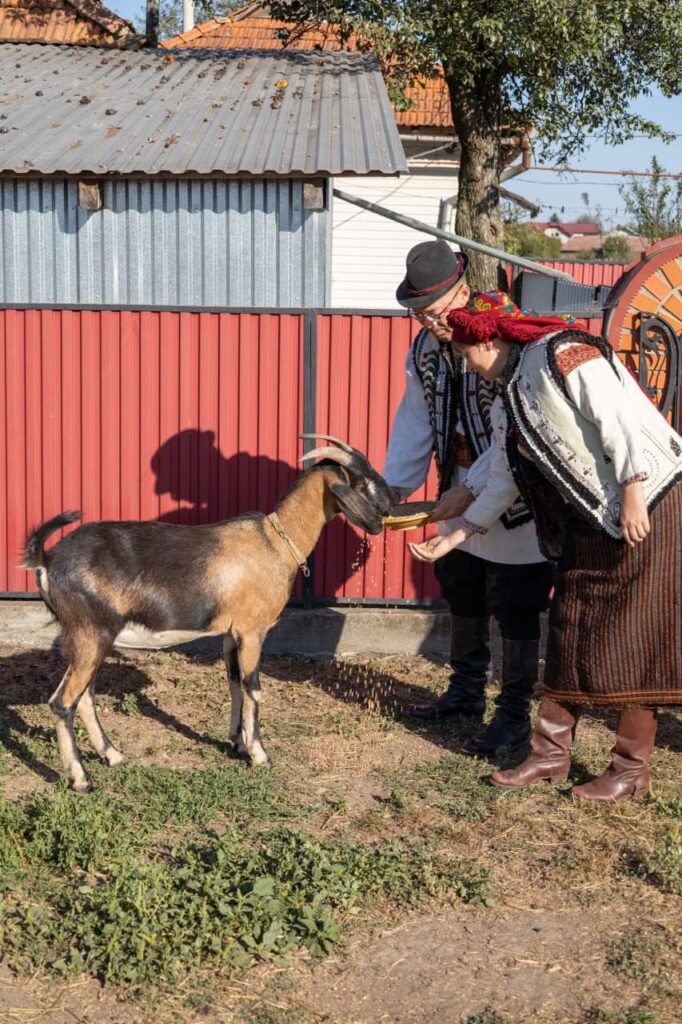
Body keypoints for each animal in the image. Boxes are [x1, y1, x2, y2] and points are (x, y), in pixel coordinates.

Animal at [22, 432, 393, 790]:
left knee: (83, 697)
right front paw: (260, 755)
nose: (392, 502)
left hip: (87, 639)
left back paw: (112, 755)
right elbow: (253, 687)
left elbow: (233, 683)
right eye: (361, 479)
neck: (275, 542)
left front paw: (237, 742)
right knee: (63, 702)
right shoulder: (252, 630)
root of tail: (47, 560)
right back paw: (82, 779)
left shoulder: (231, 633)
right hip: (91, 633)